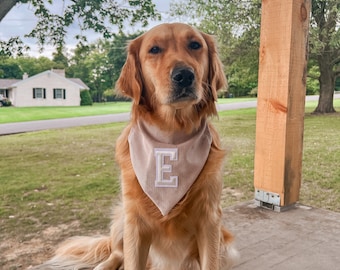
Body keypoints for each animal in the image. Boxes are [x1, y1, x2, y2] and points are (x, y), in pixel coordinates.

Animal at [34, 23, 238, 270]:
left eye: (195, 45)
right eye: (154, 49)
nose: (184, 76)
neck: (171, 136)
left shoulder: (210, 220)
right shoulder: (135, 222)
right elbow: (129, 258)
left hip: (225, 245)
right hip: (122, 217)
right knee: (116, 252)